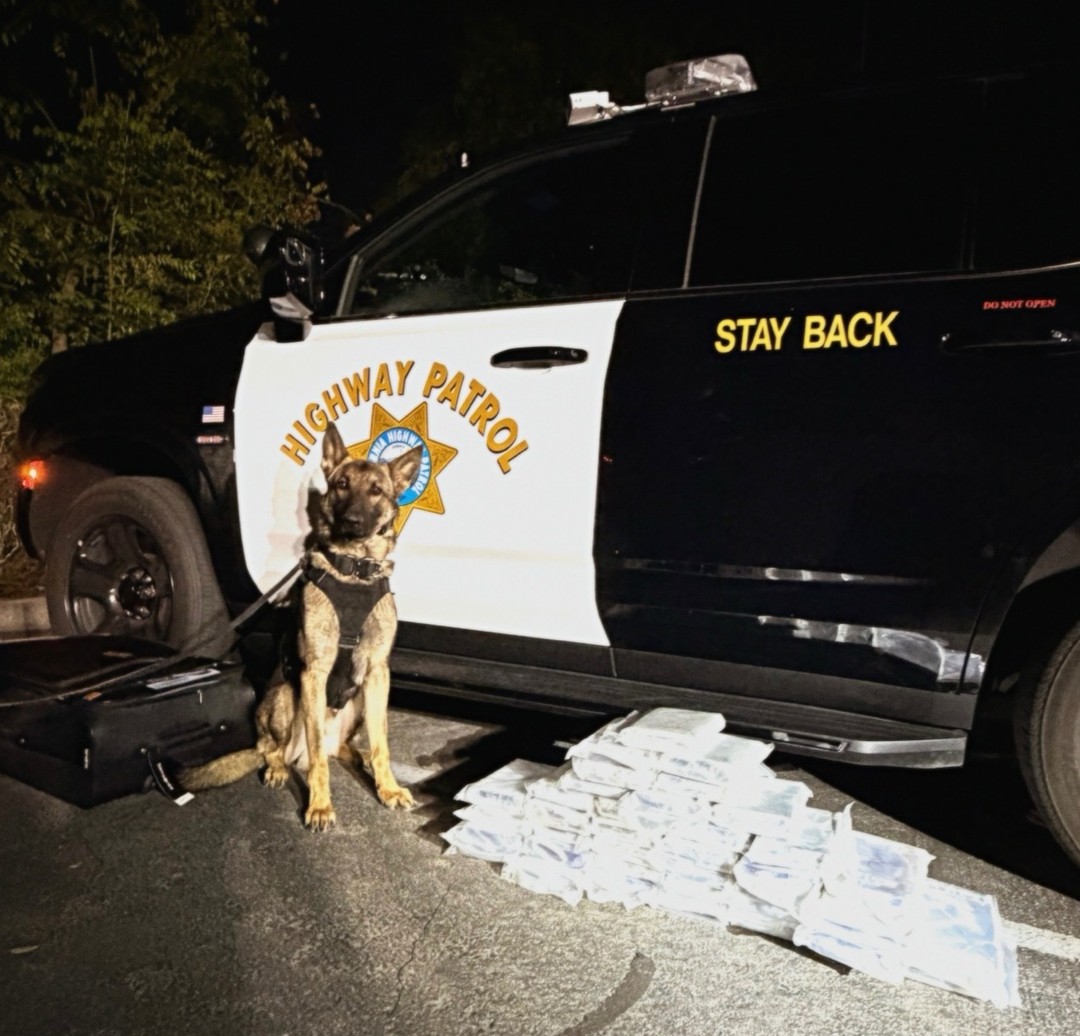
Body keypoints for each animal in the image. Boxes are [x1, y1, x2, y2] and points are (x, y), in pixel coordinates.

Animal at [180, 420, 422, 829]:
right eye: (341, 485)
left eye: (376, 490)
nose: (353, 521)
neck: (353, 572)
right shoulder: (314, 674)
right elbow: (318, 759)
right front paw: (320, 805)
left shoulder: (377, 673)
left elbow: (381, 744)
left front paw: (387, 788)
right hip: (286, 698)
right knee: (274, 748)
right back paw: (280, 768)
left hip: (358, 701)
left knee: (339, 748)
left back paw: (356, 758)